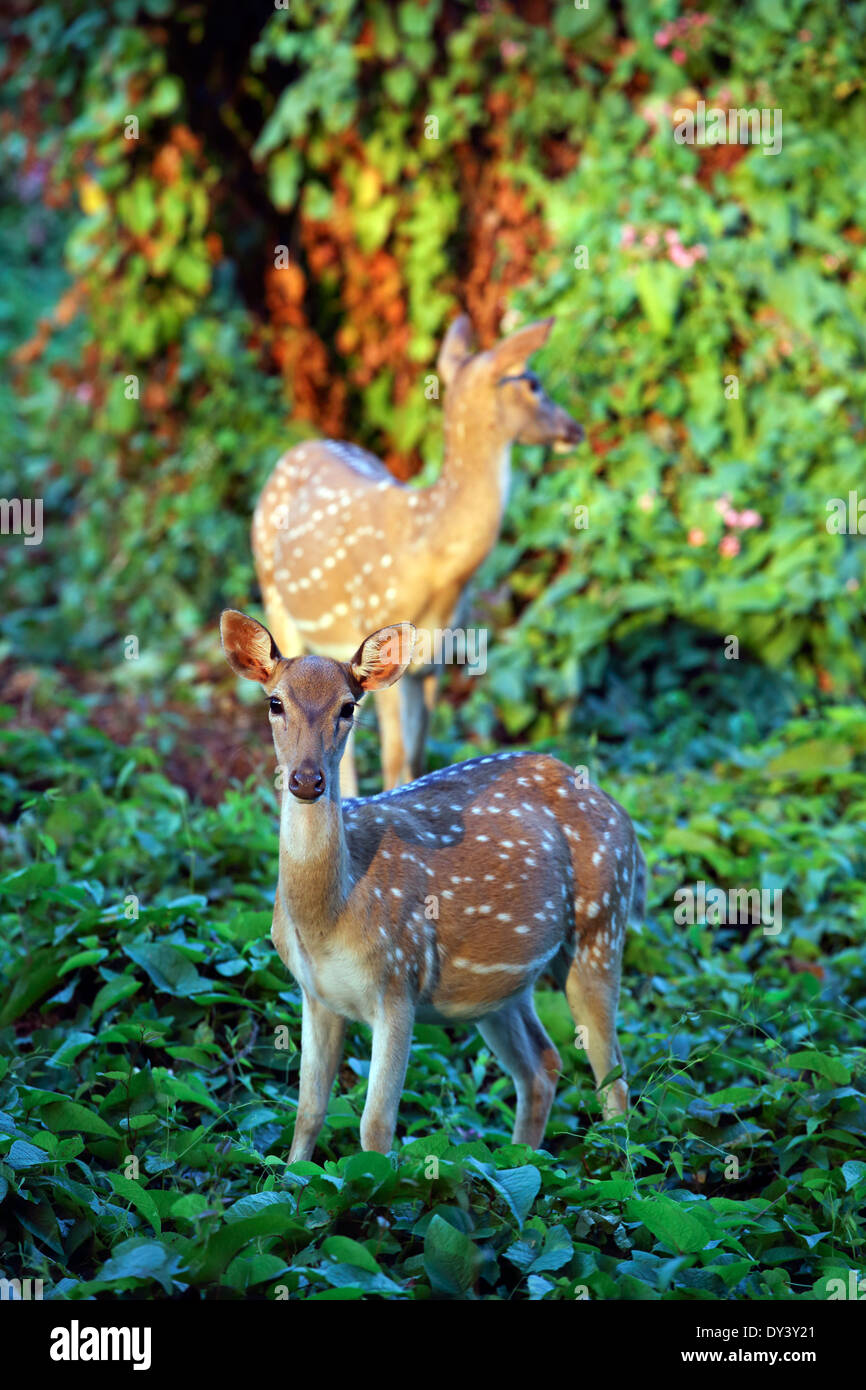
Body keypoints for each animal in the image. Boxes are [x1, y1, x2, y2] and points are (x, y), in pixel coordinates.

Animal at [220, 608, 645, 1160]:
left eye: (348, 707)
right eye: (275, 702)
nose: (307, 780)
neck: (326, 919)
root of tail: (625, 819)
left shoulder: (399, 980)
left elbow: (376, 1126)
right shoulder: (316, 995)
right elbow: (307, 1111)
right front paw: (292, 1178)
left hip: (601, 928)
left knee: (613, 1081)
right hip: (500, 987)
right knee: (543, 1064)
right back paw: (522, 1162)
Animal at [251, 314, 584, 797]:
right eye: (533, 383)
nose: (575, 429)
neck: (434, 561)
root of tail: (295, 450)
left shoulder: (436, 659)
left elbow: (417, 757)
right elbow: (395, 761)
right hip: (275, 596)